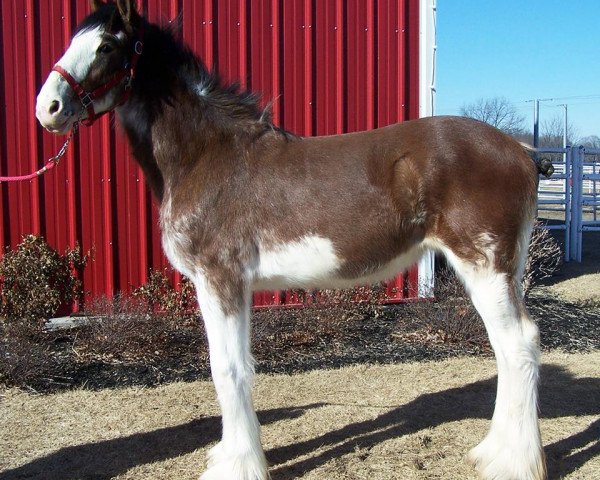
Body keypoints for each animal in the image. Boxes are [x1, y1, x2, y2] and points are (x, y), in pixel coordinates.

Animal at [37, 1, 552, 478]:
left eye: (107, 46)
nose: (48, 108)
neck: (207, 156)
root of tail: (522, 153)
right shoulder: (227, 286)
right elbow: (232, 367)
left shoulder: (221, 279)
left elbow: (228, 369)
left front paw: (239, 465)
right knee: (506, 351)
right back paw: (492, 452)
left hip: (485, 266)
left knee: (519, 345)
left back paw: (514, 462)